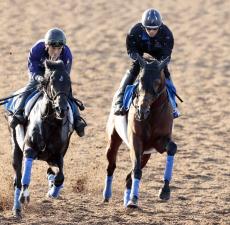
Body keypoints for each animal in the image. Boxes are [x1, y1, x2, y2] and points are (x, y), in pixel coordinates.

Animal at [5, 59, 74, 218]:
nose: (62, 109)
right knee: (18, 179)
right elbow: (25, 178)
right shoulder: (29, 150)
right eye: (52, 81)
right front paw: (24, 197)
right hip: (15, 148)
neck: (50, 123)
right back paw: (17, 209)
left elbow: (60, 177)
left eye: (69, 82)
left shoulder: (57, 155)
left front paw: (52, 192)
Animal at [102, 56, 176, 207]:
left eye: (157, 82)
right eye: (140, 80)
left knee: (128, 177)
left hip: (146, 155)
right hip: (113, 140)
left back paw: (126, 199)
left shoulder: (158, 142)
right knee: (111, 166)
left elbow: (172, 147)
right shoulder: (136, 141)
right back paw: (107, 195)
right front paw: (133, 199)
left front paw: (165, 191)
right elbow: (136, 170)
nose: (142, 111)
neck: (152, 114)